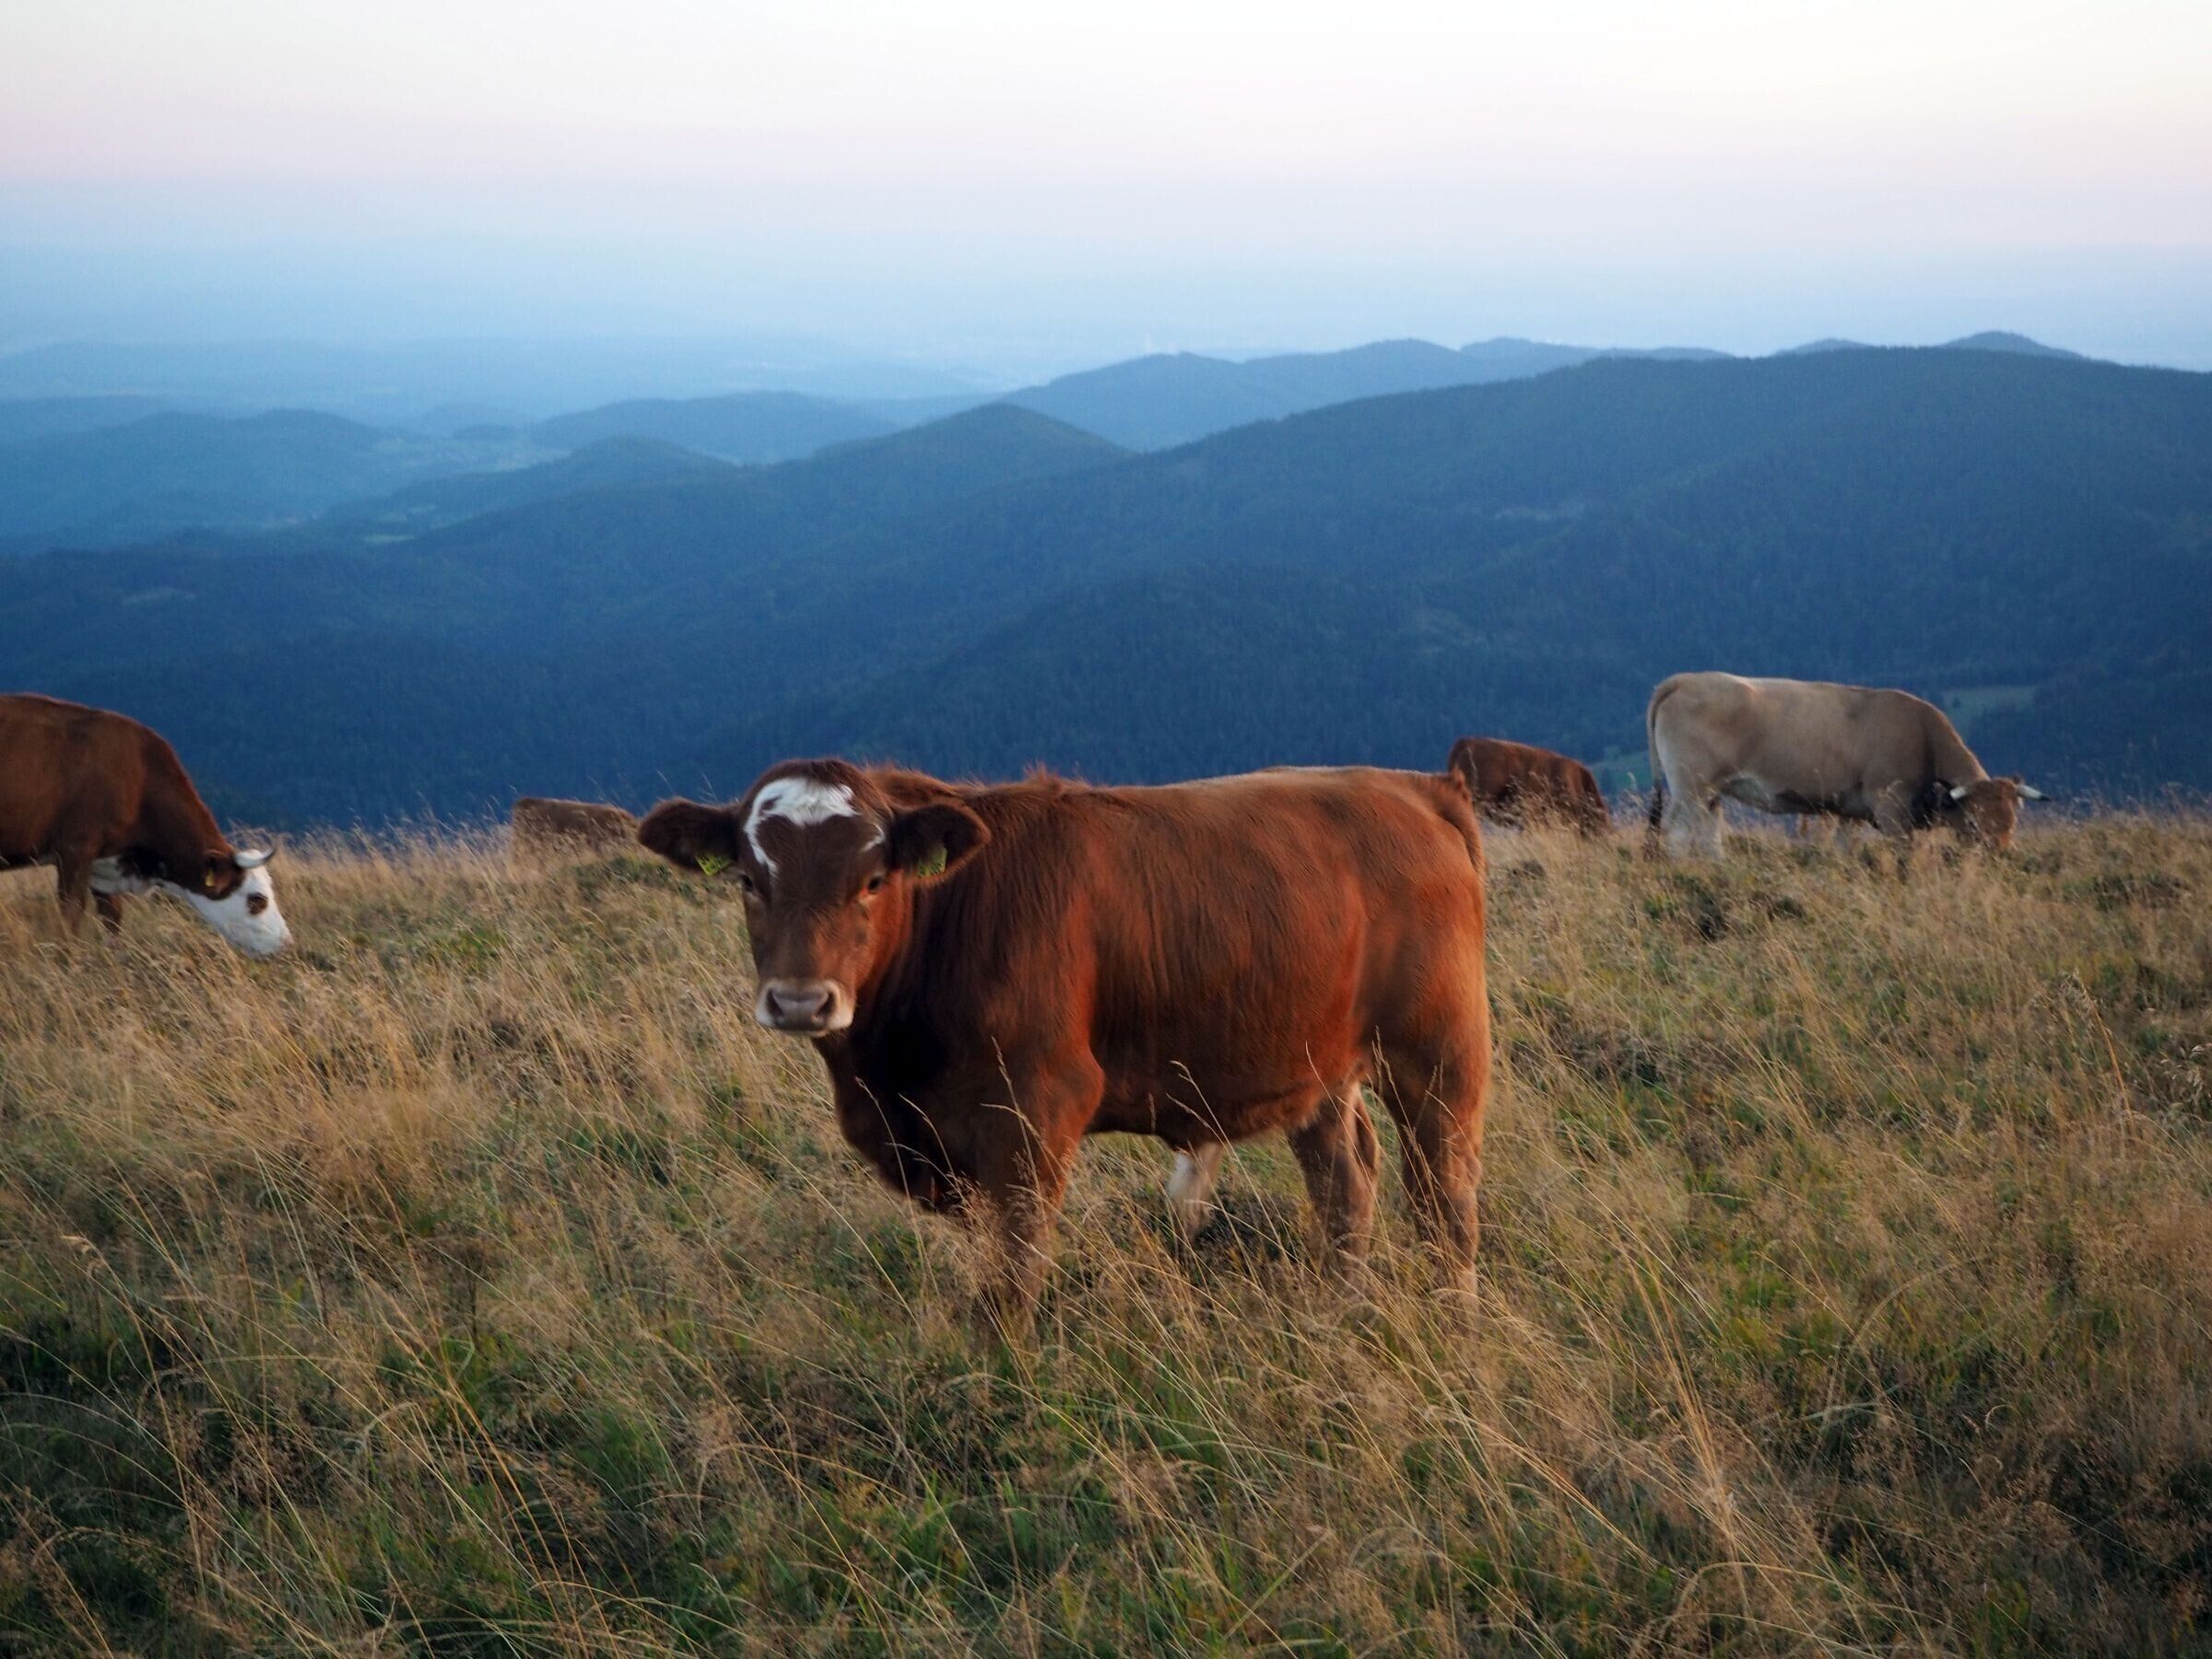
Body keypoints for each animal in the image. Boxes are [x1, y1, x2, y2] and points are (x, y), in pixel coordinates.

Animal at [0, 693, 291, 956]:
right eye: (257, 899)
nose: (285, 944)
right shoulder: (75, 850)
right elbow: (71, 917)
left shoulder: (103, 867)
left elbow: (113, 923)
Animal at [638, 760, 1491, 1330]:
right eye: (749, 880)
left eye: (873, 881)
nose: (800, 1001)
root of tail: (1412, 785)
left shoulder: (1037, 1108)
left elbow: (1014, 1270)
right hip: (1315, 1063)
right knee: (1345, 1182)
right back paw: (1337, 1309)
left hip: (1439, 1053)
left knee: (1443, 1192)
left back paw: (1452, 1316)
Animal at [1645, 672, 2047, 856]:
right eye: (1975, 822)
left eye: (2012, 820)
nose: (1999, 855)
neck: (1922, 735)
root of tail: (1686, 679)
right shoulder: (1891, 809)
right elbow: (1904, 855)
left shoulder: (1848, 811)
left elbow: (1842, 848)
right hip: (1690, 787)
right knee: (1678, 835)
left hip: (1710, 792)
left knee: (1709, 833)